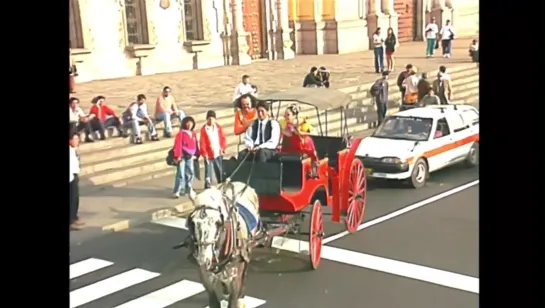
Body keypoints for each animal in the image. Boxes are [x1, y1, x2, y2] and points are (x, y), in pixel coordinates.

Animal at [186, 180, 260, 308]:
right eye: (193, 222)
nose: (203, 260)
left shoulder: (235, 277)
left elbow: (233, 301)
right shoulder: (205, 276)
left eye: (218, 222)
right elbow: (214, 302)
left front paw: (237, 300)